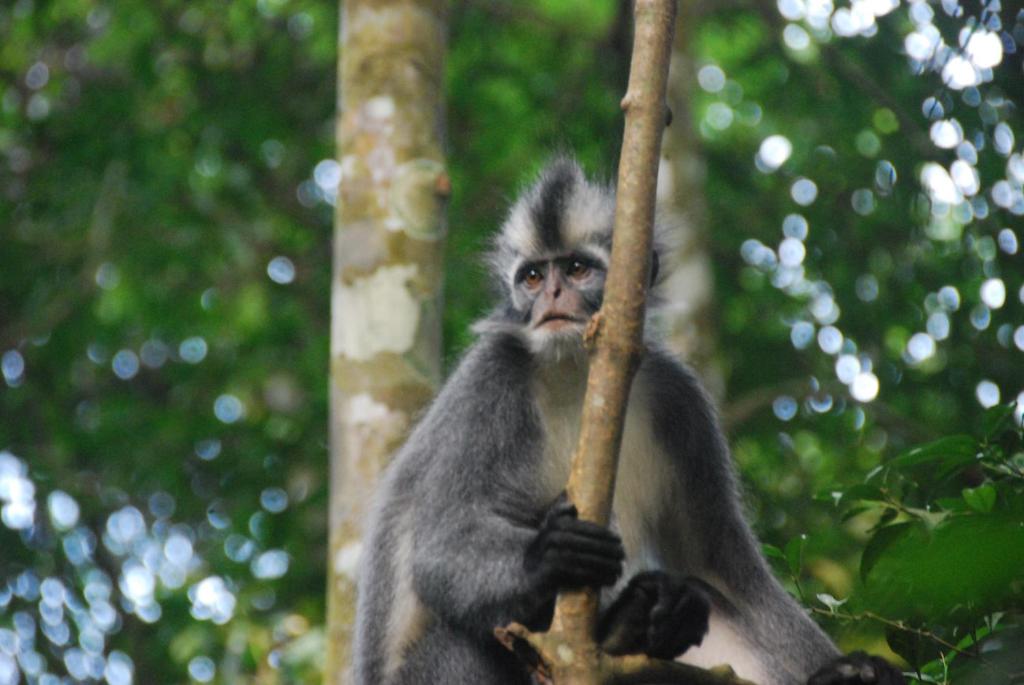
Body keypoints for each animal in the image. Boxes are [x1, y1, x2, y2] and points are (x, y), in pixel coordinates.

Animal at [354, 156, 905, 683]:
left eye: (577, 269)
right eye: (532, 278)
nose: (551, 297)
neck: (579, 371)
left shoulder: (678, 397)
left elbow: (728, 576)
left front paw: (848, 668)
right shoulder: (490, 380)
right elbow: (438, 551)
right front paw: (549, 555)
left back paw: (643, 621)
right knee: (464, 640)